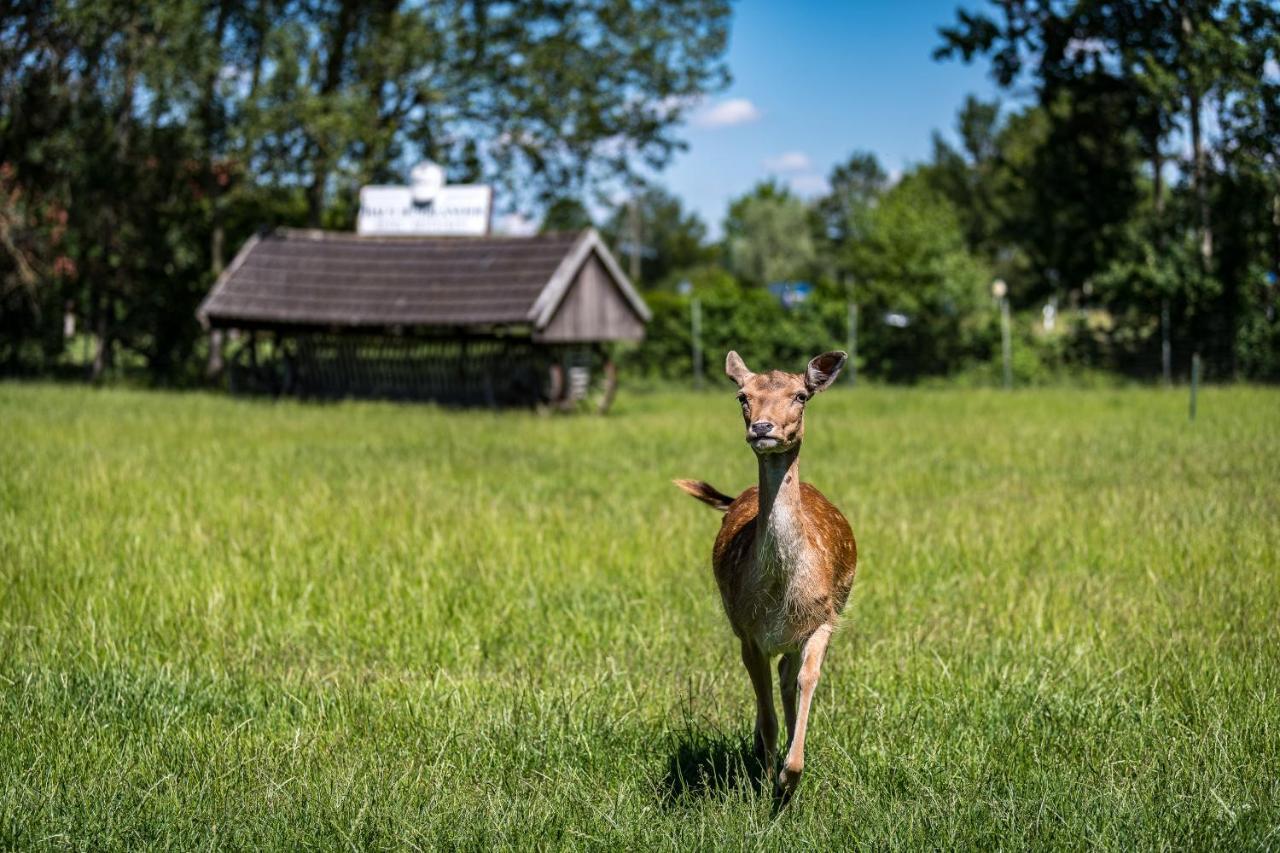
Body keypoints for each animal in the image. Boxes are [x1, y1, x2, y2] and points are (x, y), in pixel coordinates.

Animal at [670, 348, 860, 799]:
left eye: (801, 395)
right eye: (743, 396)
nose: (762, 427)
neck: (780, 590)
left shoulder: (824, 619)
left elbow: (807, 679)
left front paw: (790, 776)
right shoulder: (748, 631)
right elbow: (766, 705)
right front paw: (766, 776)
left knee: (788, 678)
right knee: (771, 688)